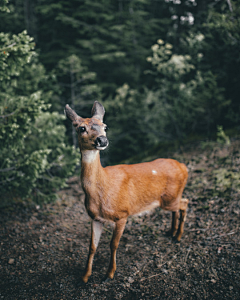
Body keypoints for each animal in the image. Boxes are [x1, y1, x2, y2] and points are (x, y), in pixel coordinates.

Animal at [64, 101, 188, 284]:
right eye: (81, 128)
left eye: (105, 126)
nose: (102, 140)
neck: (102, 191)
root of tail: (184, 167)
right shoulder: (95, 217)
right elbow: (92, 246)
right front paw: (85, 276)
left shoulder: (123, 213)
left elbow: (113, 244)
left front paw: (109, 273)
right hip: (168, 200)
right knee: (178, 208)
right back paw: (171, 232)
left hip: (170, 198)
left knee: (185, 203)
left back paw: (178, 236)